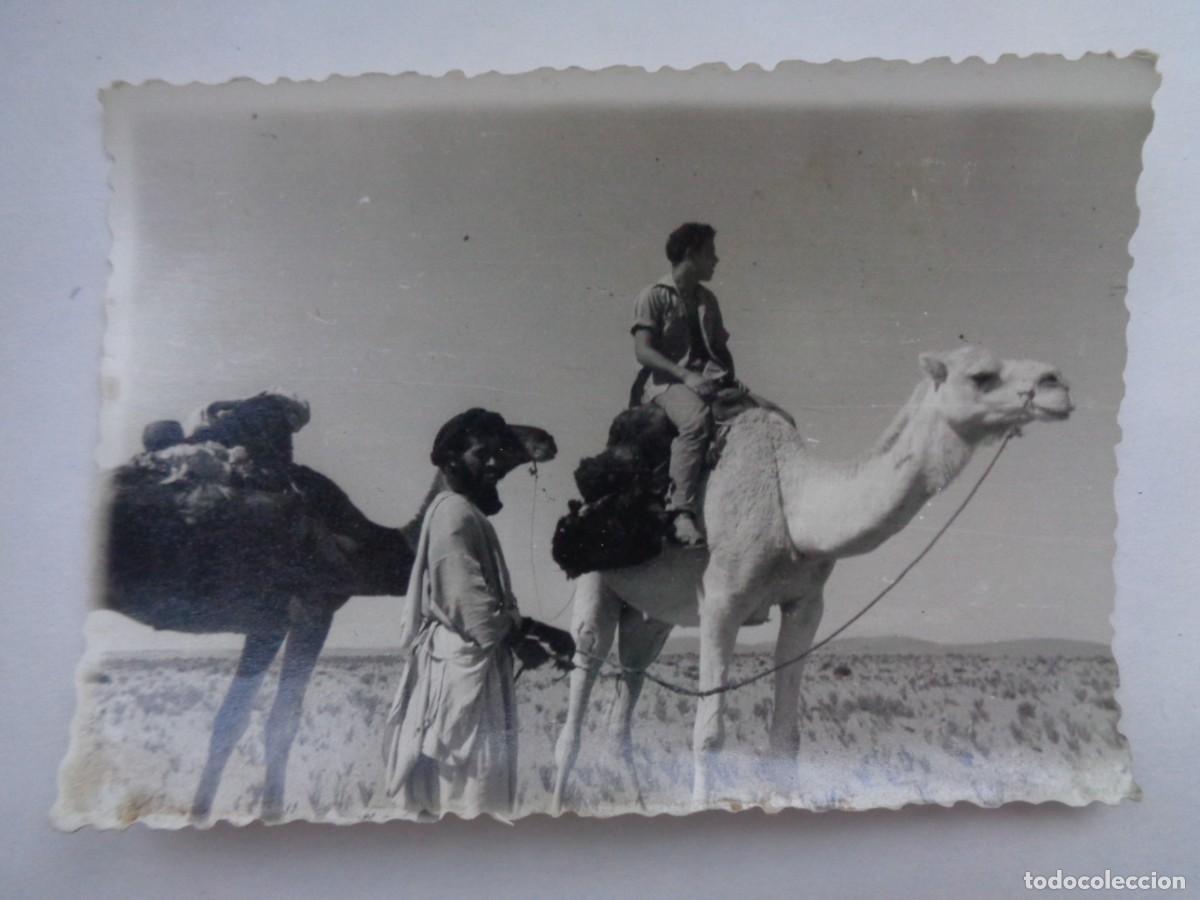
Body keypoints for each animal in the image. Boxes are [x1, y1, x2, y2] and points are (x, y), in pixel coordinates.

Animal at [102, 393, 556, 822]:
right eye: (491, 440)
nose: (545, 438)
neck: (358, 545)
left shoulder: (267, 622)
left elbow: (229, 722)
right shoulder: (311, 609)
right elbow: (279, 724)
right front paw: (268, 815)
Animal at [551, 345, 1074, 810]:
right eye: (982, 376)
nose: (1058, 384)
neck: (792, 502)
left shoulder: (806, 605)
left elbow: (786, 733)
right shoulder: (721, 601)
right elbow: (709, 734)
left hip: (652, 619)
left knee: (624, 703)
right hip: (597, 586)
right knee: (578, 697)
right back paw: (558, 803)